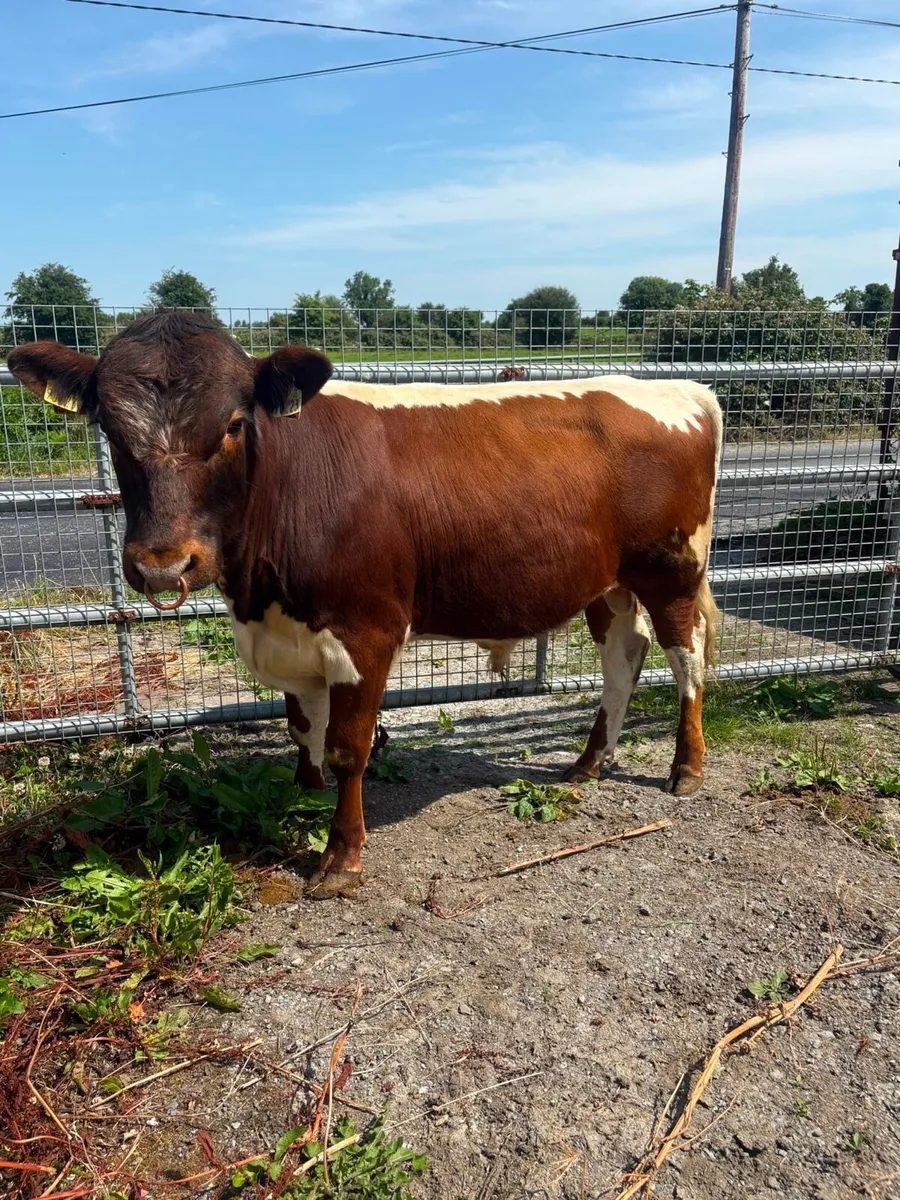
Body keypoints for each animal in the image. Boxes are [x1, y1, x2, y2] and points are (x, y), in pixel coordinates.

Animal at [8, 312, 722, 899]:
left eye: (234, 425)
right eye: (109, 429)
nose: (162, 564)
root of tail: (688, 391)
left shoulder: (366, 631)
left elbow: (348, 747)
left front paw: (339, 856)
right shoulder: (289, 632)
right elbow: (303, 730)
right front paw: (303, 800)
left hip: (673, 569)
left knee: (686, 657)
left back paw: (686, 767)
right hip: (608, 582)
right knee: (623, 659)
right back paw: (589, 762)